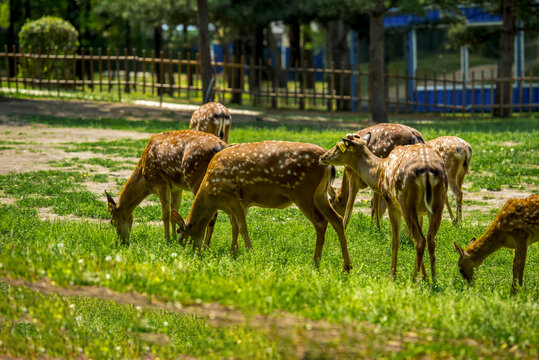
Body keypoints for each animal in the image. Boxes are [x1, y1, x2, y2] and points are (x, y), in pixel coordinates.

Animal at [171, 139, 352, 272]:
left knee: (320, 222)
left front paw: (249, 253)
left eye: (181, 232)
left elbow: (242, 227)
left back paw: (315, 262)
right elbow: (235, 228)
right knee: (337, 219)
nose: (188, 252)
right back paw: (346, 267)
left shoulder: (232, 197)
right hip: (320, 195)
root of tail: (328, 165)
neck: (211, 194)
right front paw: (232, 253)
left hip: (302, 192)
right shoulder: (242, 203)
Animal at [320, 134, 448, 282]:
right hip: (438, 205)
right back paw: (434, 279)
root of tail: (427, 171)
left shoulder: (391, 203)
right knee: (430, 239)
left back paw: (413, 279)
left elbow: (395, 241)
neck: (380, 170)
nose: (322, 156)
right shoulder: (420, 212)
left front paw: (392, 275)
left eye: (337, 146)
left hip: (406, 202)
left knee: (420, 240)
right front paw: (425, 276)